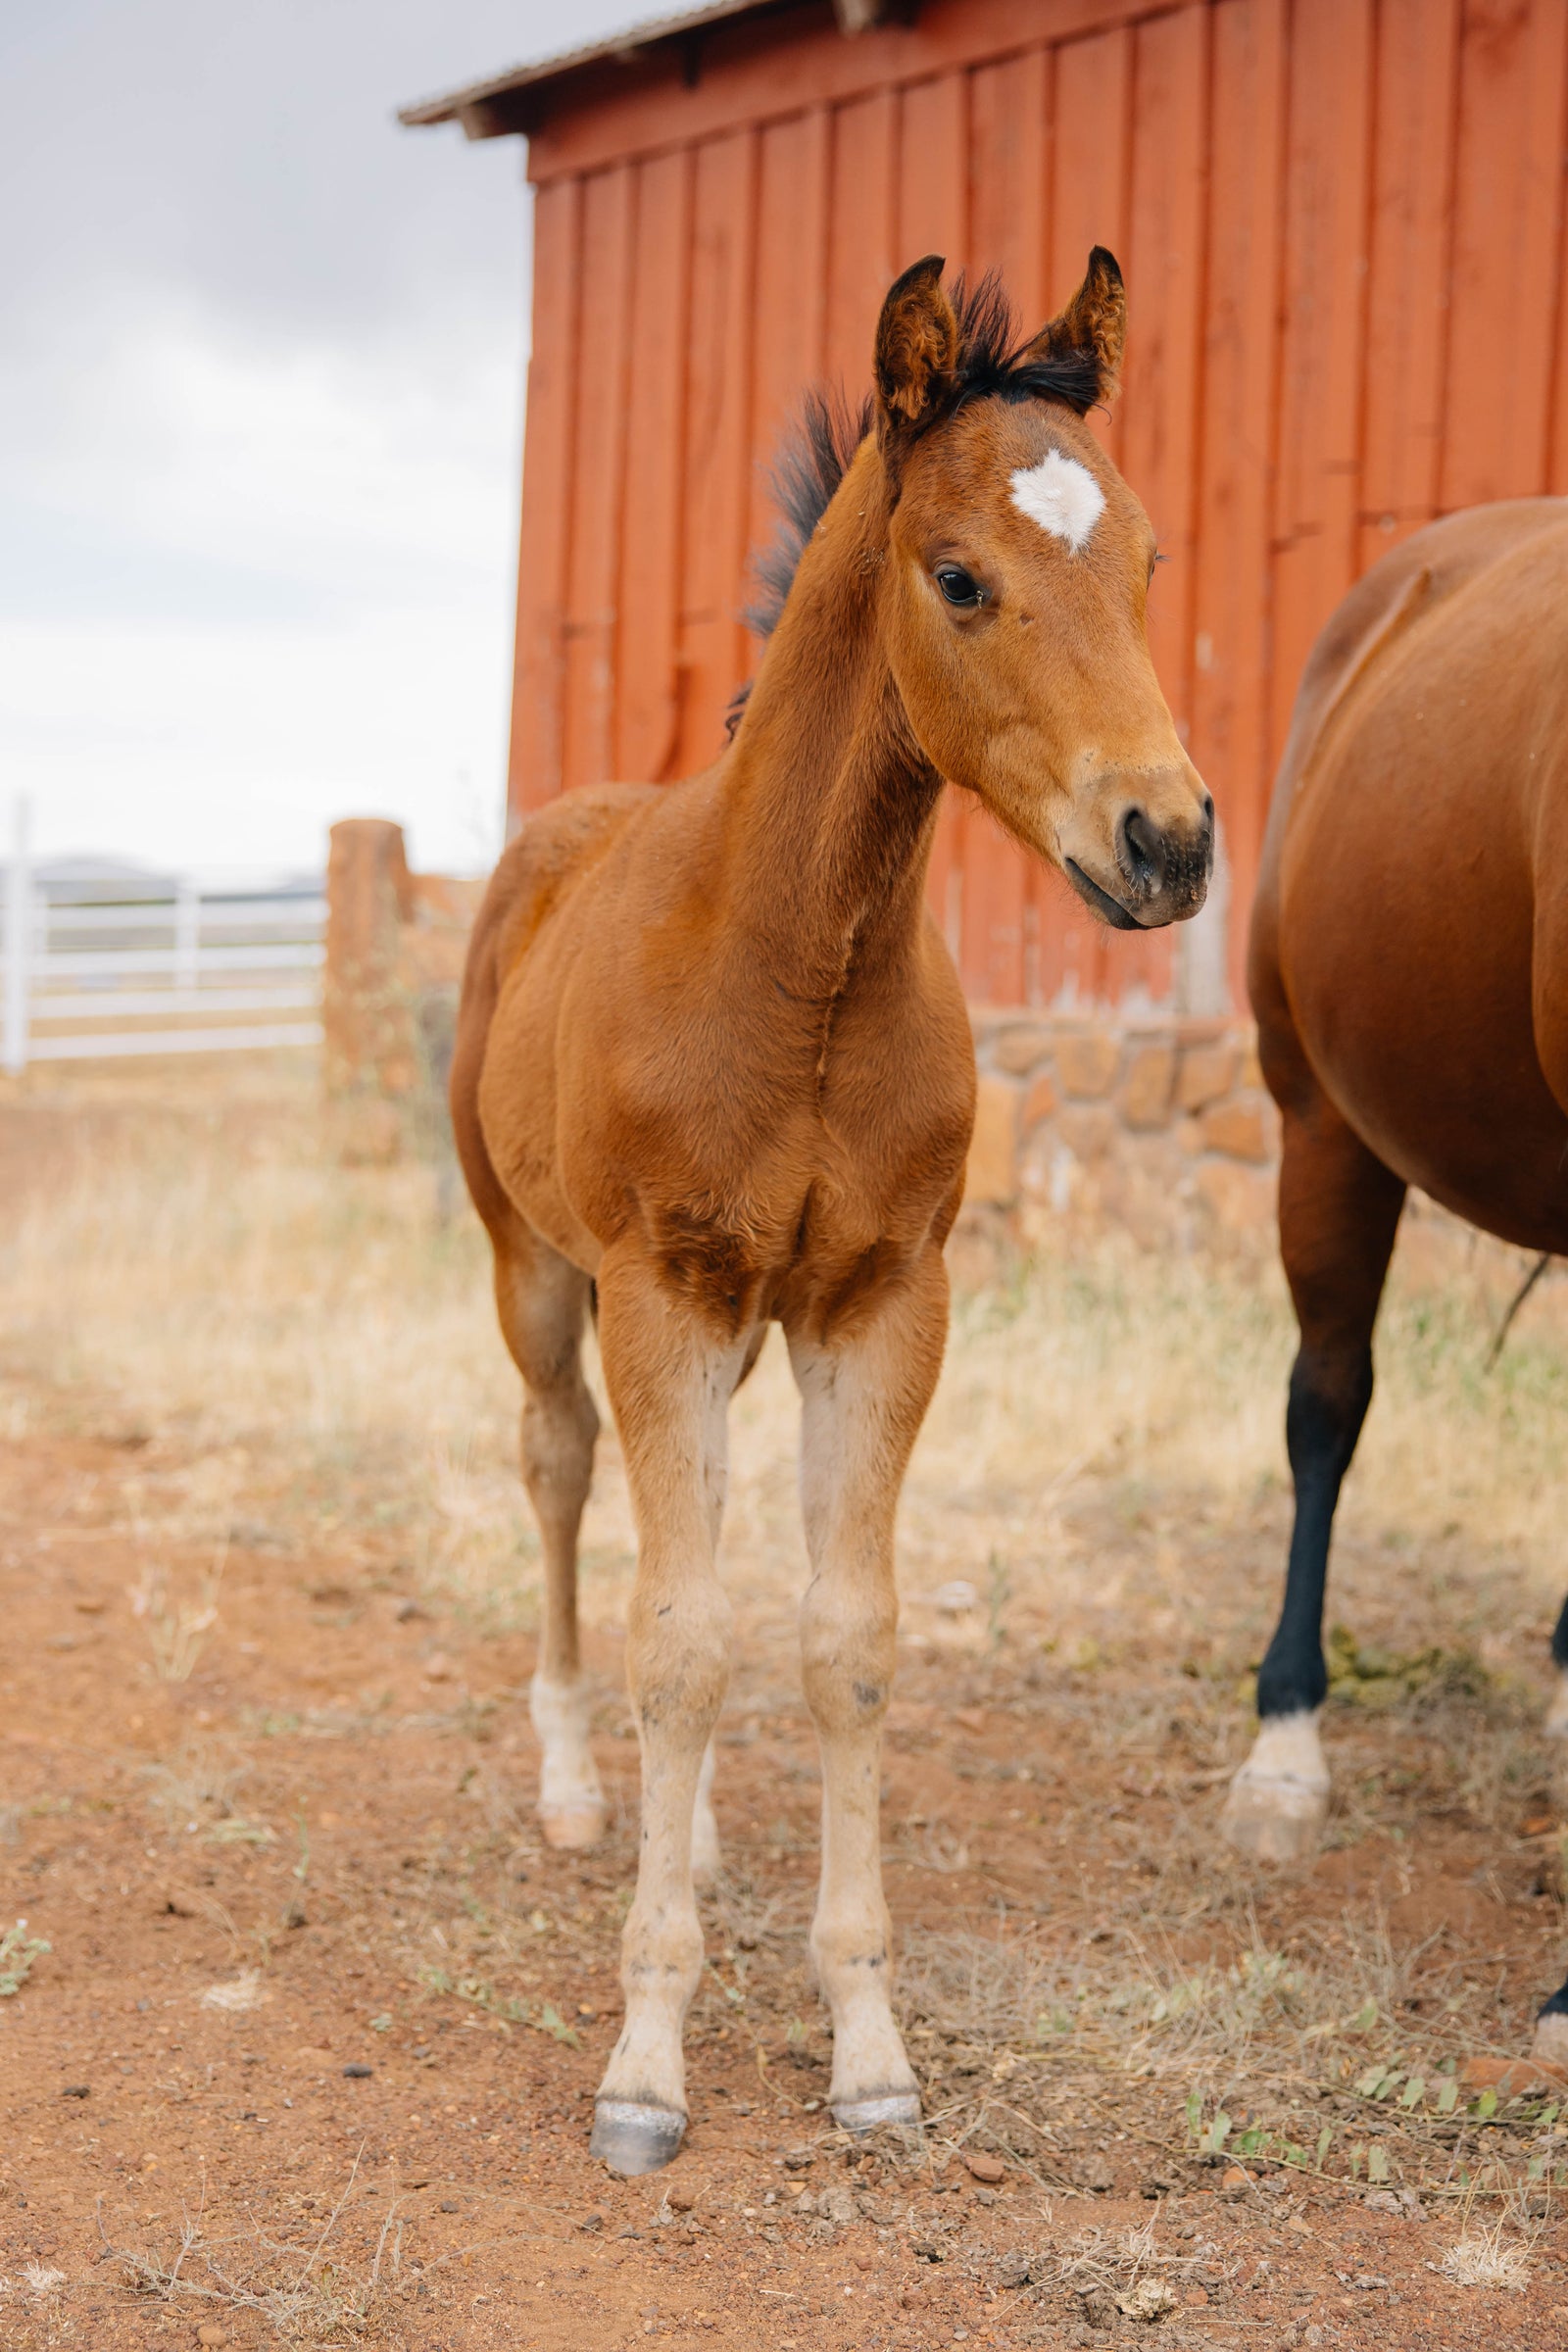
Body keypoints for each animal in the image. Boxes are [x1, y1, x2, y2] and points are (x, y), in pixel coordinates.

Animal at [450, 250, 1214, 2174]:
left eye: (1150, 559)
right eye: (961, 577)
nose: (1169, 841)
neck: (797, 957)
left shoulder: (880, 1302)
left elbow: (840, 1642)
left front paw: (869, 2041)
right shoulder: (666, 1289)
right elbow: (679, 1642)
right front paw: (645, 2065)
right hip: (536, 1273)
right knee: (563, 1483)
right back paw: (575, 1790)